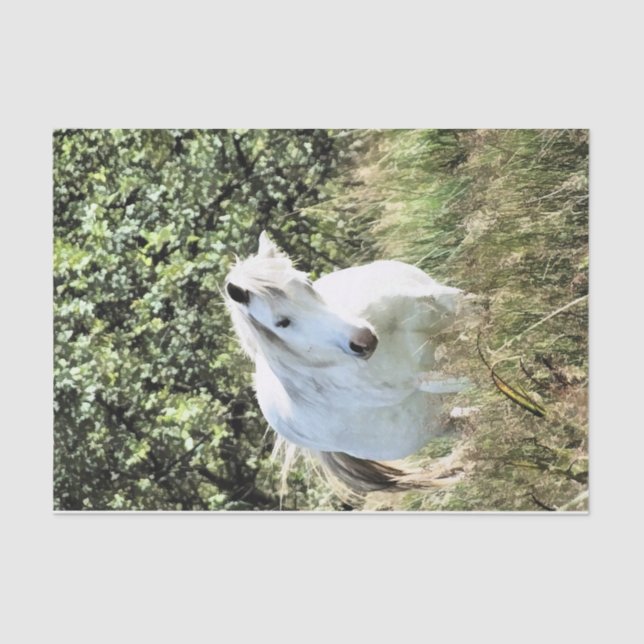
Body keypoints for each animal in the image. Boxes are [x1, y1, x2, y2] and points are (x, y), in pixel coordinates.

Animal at [224, 231, 477, 494]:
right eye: (281, 323)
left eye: (307, 284)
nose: (364, 340)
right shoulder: (425, 379)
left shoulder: (443, 301)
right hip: (428, 423)